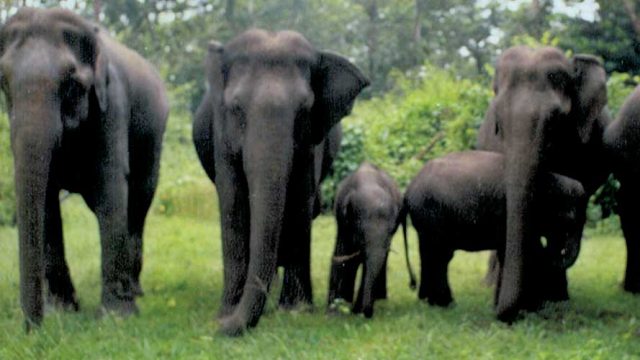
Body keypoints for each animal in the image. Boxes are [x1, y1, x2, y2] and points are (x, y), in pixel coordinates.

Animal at [0, 7, 169, 330]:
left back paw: (135, 291)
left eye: (71, 84)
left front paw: (116, 317)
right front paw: (62, 311)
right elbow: (47, 199)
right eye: (3, 82)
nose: (32, 328)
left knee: (139, 201)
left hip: (154, 139)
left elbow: (110, 186)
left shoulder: (112, 103)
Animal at [192, 29, 368, 336]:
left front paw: (296, 311)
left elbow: (300, 199)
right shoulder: (221, 134)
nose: (219, 328)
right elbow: (233, 201)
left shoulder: (312, 141)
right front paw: (225, 313)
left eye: (304, 108)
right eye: (236, 107)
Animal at [328, 162, 418, 318]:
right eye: (361, 235)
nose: (367, 313)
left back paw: (379, 298)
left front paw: (354, 310)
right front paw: (336, 309)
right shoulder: (342, 219)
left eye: (389, 233)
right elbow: (345, 254)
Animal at [404, 151, 584, 306]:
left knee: (432, 253)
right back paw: (443, 303)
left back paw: (429, 300)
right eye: (570, 218)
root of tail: (409, 188)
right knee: (439, 254)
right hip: (431, 213)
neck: (550, 178)